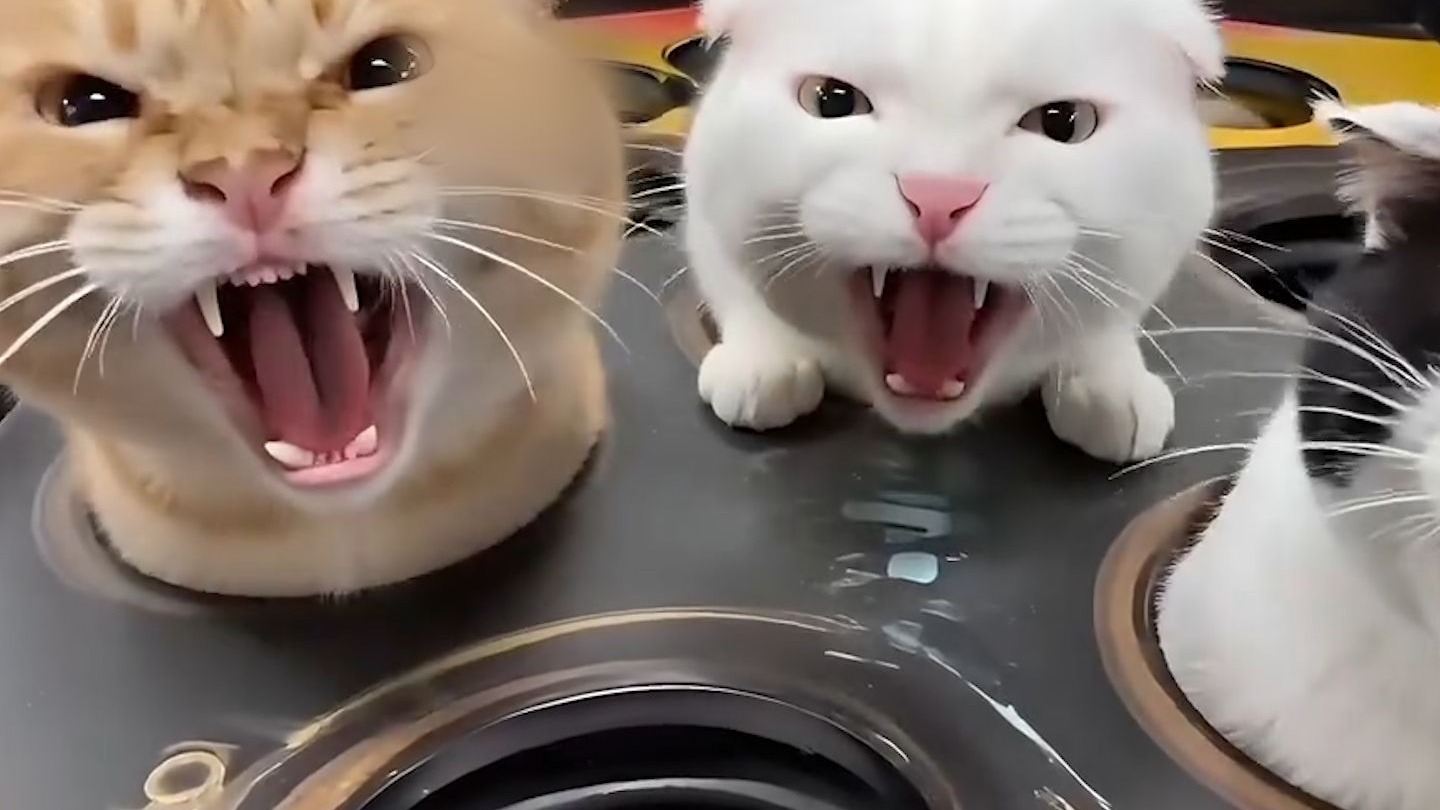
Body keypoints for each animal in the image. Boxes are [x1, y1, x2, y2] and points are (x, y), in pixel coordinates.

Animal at [681, 0, 1223, 463]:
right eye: (831, 100)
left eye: (1065, 122)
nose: (938, 198)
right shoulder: (701, 214)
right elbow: (738, 284)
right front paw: (765, 357)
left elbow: (1112, 318)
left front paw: (1108, 378)